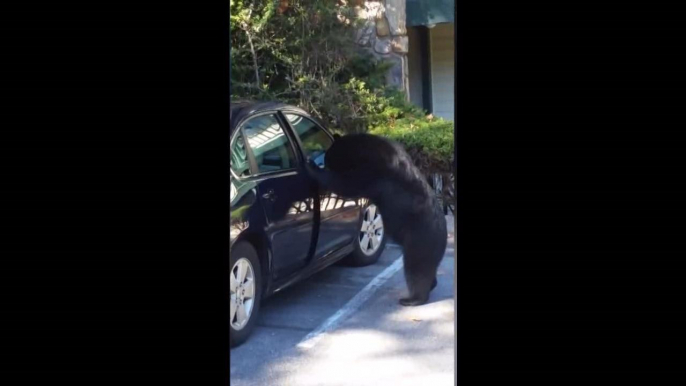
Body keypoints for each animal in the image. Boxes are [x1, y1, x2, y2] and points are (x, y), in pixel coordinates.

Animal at [306, 134, 446, 306]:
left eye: (328, 159)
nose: (323, 162)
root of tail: (443, 235)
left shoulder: (375, 170)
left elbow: (346, 184)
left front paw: (311, 166)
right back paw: (431, 284)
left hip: (419, 238)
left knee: (416, 267)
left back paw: (413, 298)